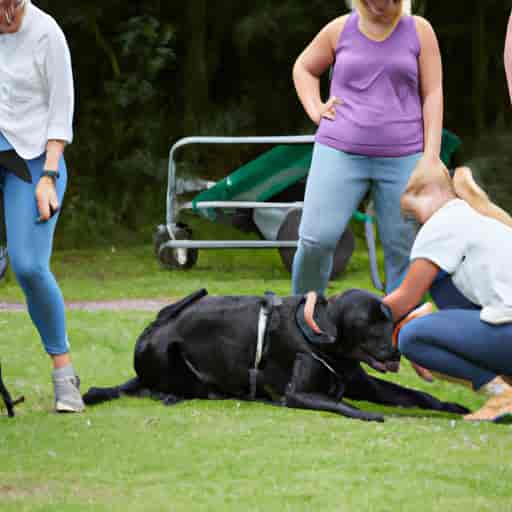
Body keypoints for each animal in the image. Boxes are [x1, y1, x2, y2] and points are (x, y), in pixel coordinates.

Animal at [83, 288, 468, 420]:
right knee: (157, 388)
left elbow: (417, 396)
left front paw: (454, 407)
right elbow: (343, 404)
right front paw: (369, 416)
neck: (319, 337)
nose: (395, 352)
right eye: (366, 324)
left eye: (388, 321)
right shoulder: (298, 393)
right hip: (173, 356)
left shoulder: (364, 383)